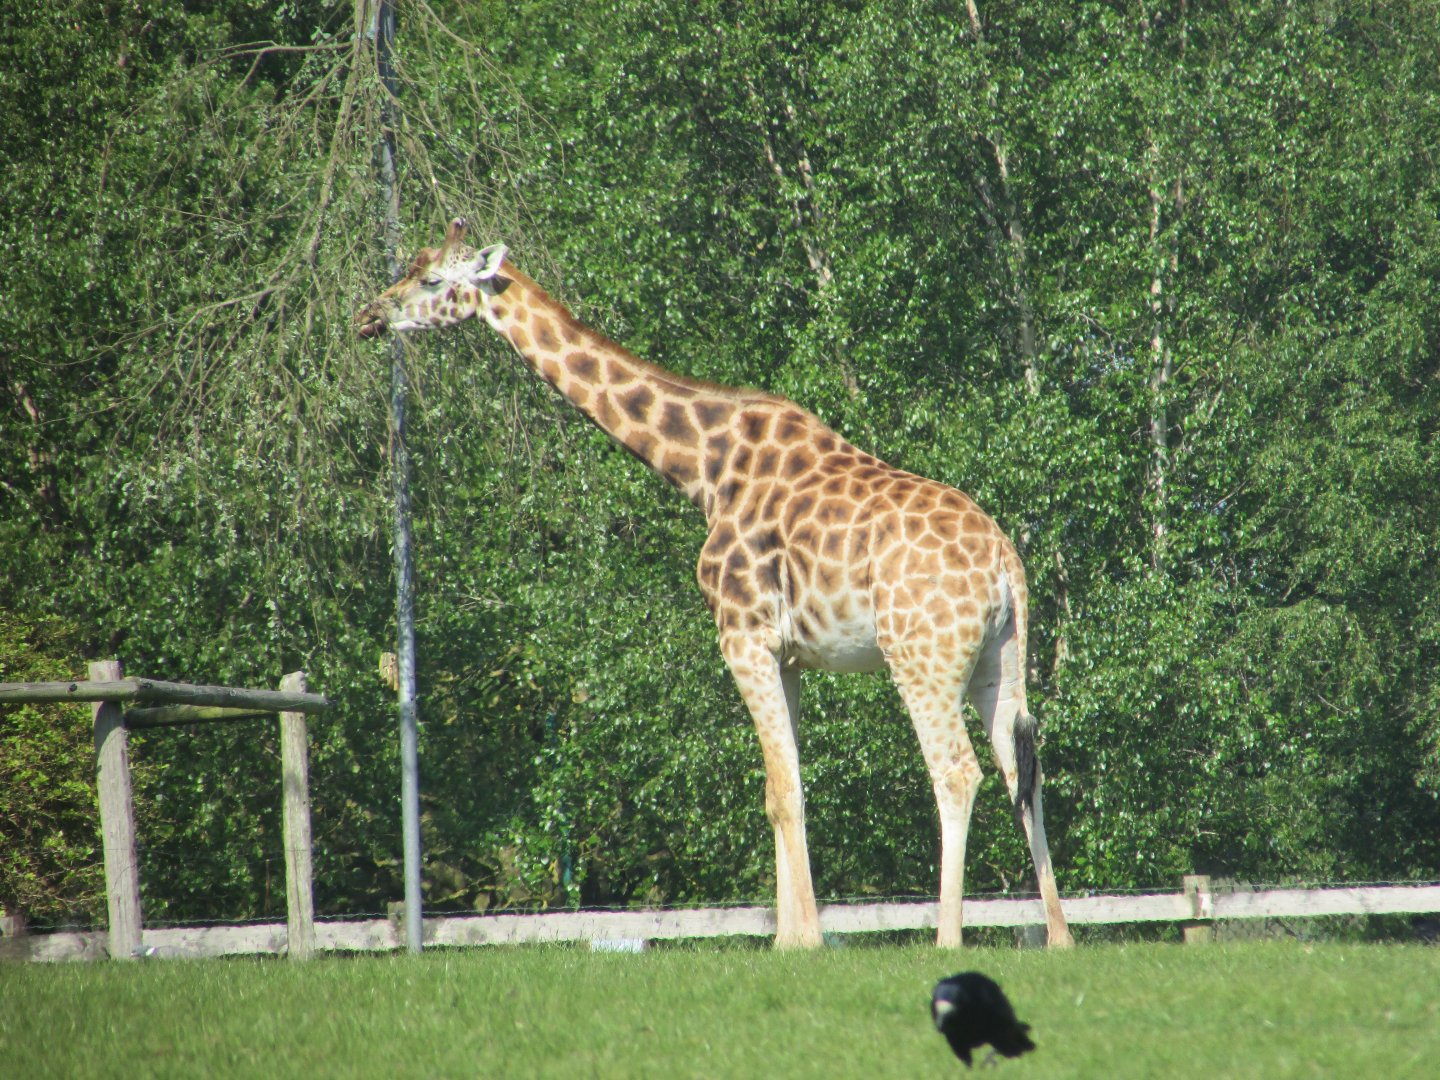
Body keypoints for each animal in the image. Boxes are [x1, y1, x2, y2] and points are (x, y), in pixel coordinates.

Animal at [356, 219, 1073, 949]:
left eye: (432, 279)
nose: (369, 315)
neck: (703, 468)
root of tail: (1005, 564)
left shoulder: (741, 634)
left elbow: (783, 793)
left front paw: (805, 940)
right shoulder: (787, 654)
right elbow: (783, 787)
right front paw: (789, 941)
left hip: (920, 658)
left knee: (956, 773)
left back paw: (947, 937)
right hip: (997, 660)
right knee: (1024, 768)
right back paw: (1060, 936)